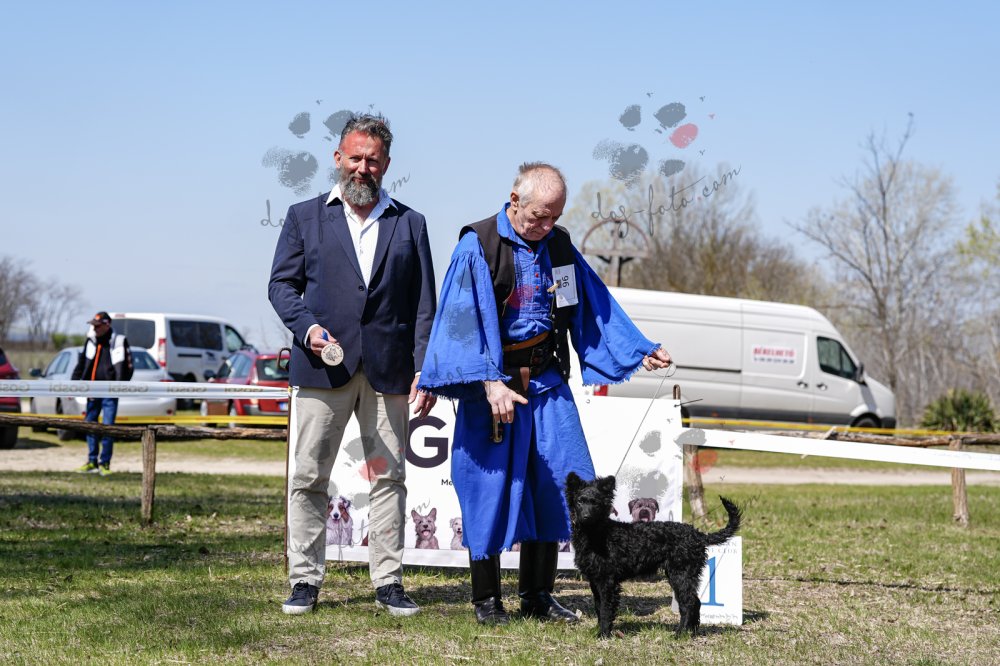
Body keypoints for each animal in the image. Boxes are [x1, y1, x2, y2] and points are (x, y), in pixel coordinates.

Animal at [565, 472, 741, 638]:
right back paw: (691, 632)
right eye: (580, 501)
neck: (598, 534)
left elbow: (606, 609)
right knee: (695, 602)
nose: (586, 517)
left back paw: (680, 633)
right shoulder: (595, 580)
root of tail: (697, 534)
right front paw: (598, 630)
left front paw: (603, 634)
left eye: (596, 503)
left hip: (681, 575)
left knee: (689, 603)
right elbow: (598, 607)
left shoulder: (608, 581)